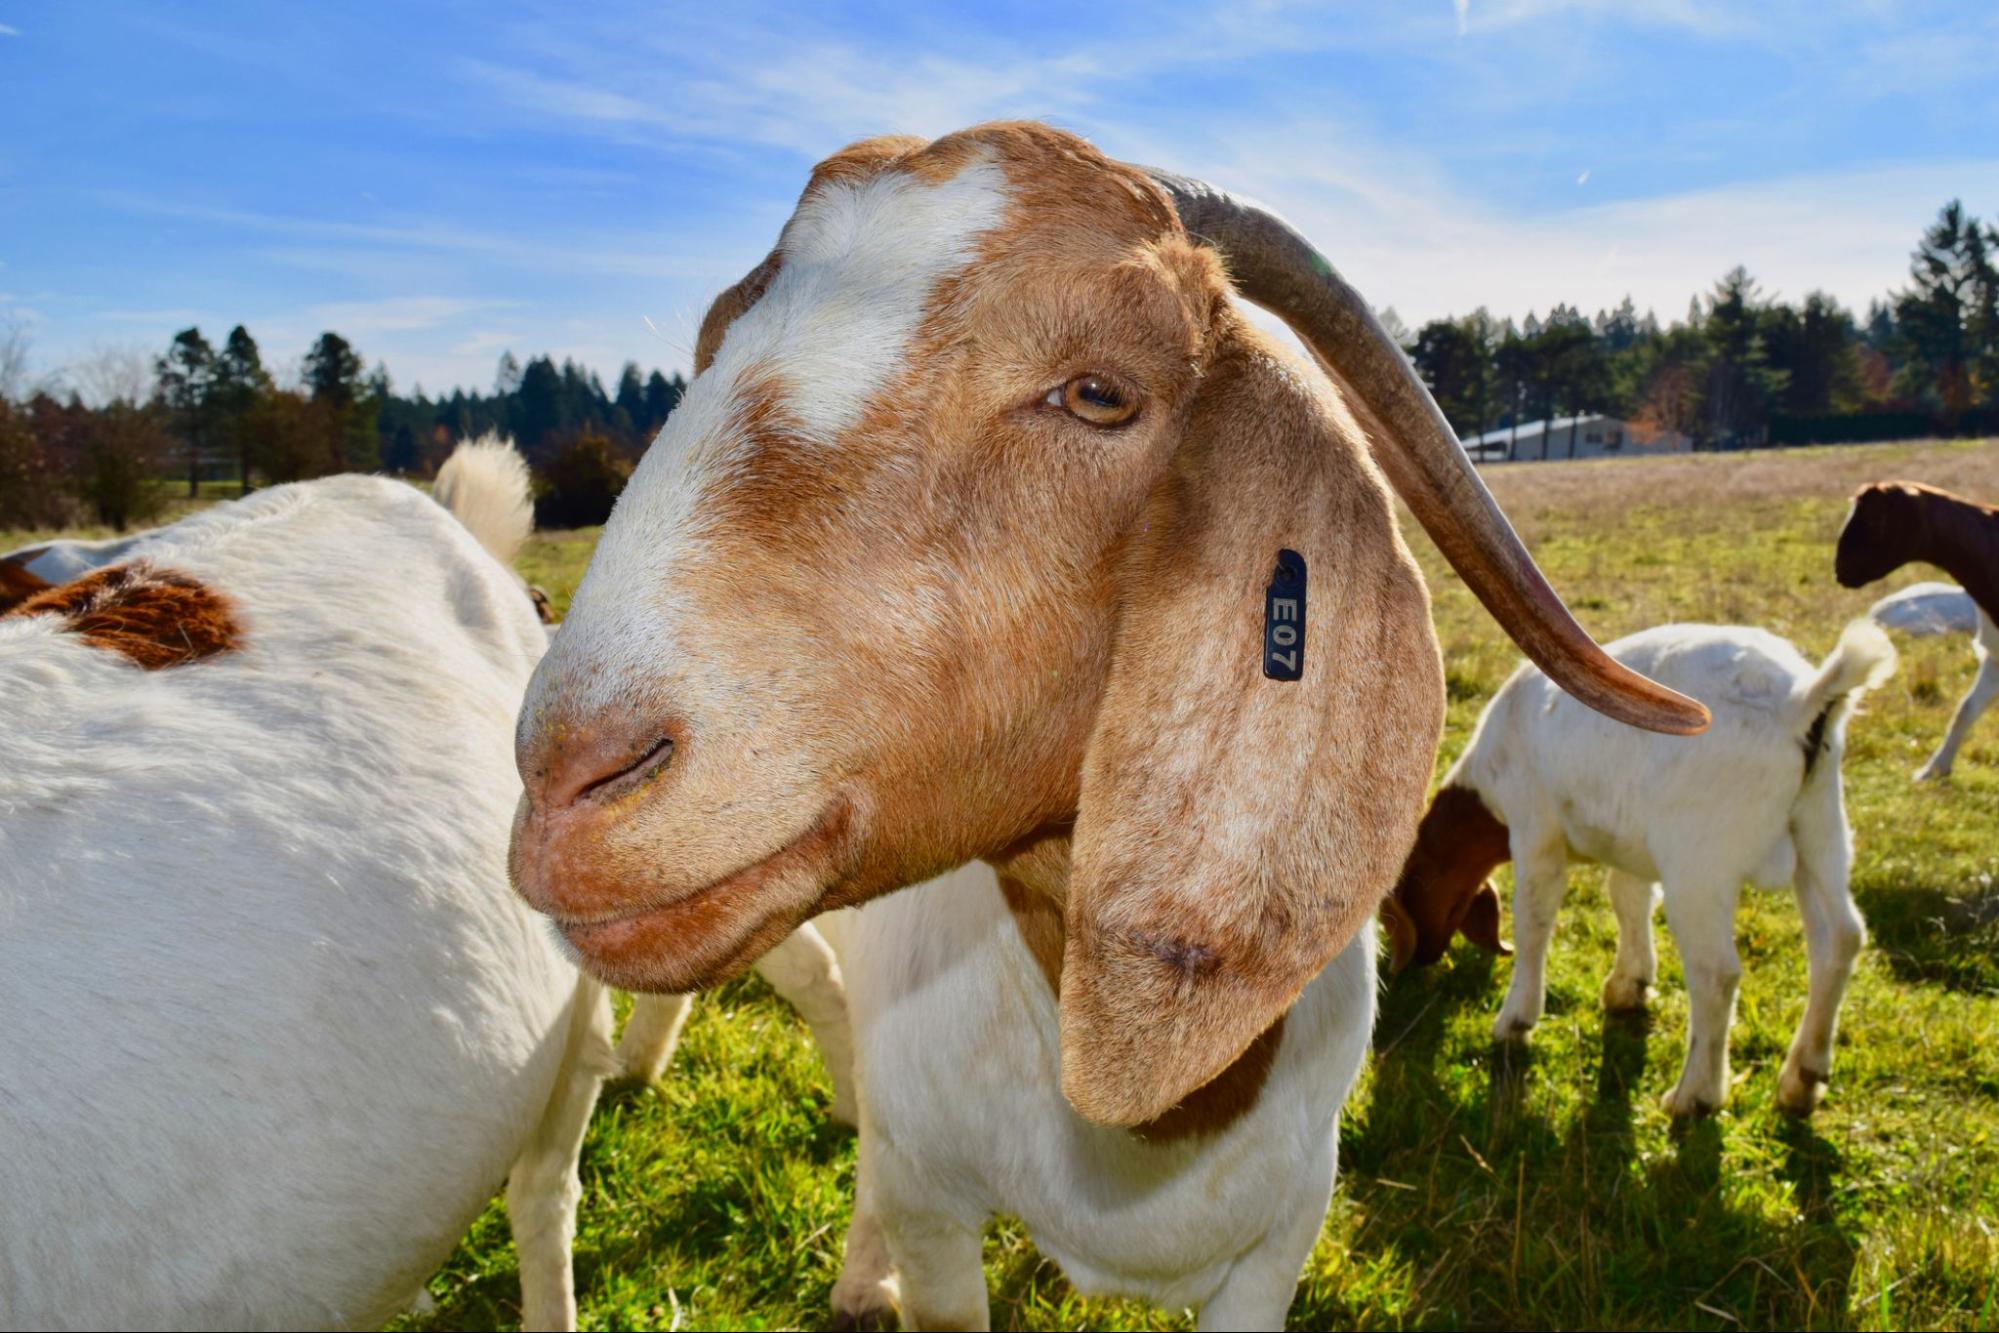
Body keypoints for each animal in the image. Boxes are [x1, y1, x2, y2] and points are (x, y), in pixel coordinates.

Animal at [1386, 621, 1894, 1118]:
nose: (1419, 961)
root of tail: (1802, 701)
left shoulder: (1535, 831)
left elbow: (1534, 919)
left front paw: (1516, 1019)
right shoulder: (1631, 841)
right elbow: (1627, 896)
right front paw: (1629, 985)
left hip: (1698, 861)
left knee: (1716, 972)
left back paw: (1695, 1095)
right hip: (1820, 829)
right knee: (1840, 939)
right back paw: (1802, 1079)